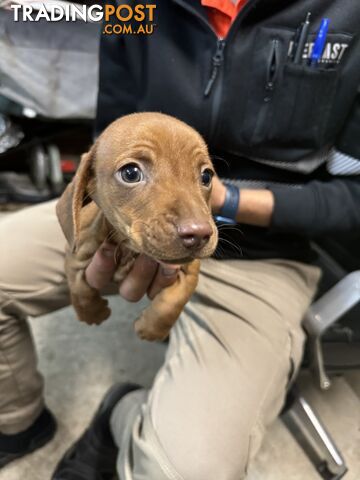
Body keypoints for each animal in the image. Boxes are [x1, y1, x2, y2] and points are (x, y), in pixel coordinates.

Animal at [57, 111, 217, 340]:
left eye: (206, 176)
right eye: (131, 173)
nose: (199, 234)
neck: (129, 249)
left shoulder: (190, 269)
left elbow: (174, 301)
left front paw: (151, 328)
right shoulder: (76, 252)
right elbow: (79, 287)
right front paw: (92, 313)